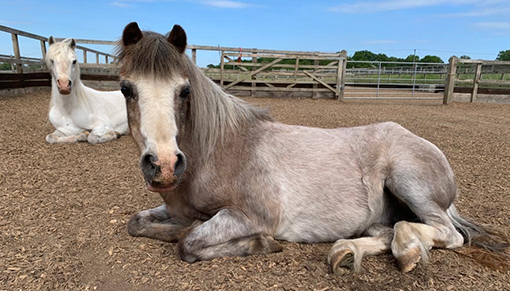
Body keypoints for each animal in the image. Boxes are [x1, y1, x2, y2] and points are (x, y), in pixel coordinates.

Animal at [116, 22, 510, 274]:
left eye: (184, 90)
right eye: (125, 88)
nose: (164, 165)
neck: (219, 151)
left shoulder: (249, 216)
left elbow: (190, 243)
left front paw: (261, 244)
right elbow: (137, 223)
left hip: (409, 183)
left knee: (446, 234)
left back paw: (407, 251)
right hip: (379, 216)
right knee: (387, 232)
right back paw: (346, 252)